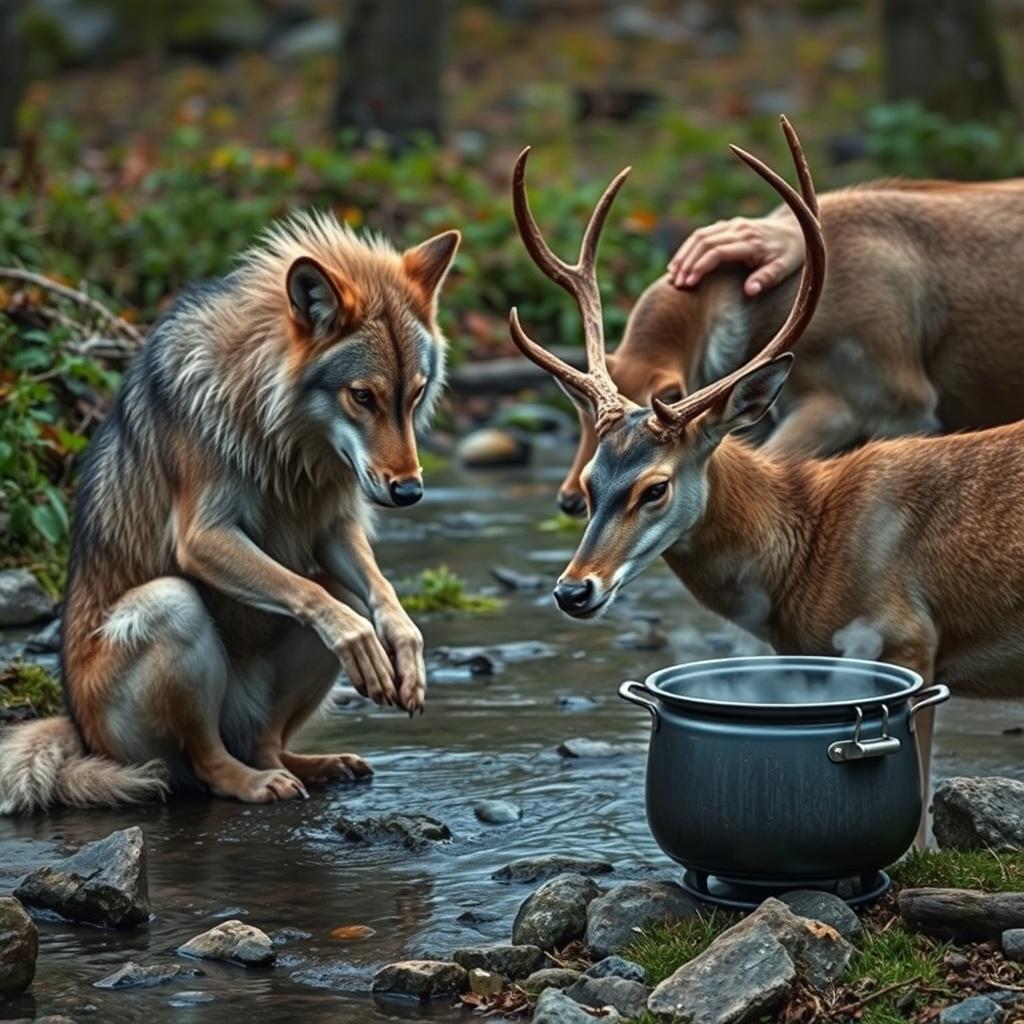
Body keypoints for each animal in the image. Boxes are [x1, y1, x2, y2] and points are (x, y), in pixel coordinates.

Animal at [0, 211, 459, 812]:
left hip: (265, 696)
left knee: (272, 732)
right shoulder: (202, 537)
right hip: (168, 617)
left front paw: (404, 642)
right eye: (363, 396)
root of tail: (79, 733)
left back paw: (310, 766)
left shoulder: (334, 527)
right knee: (207, 758)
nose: (409, 492)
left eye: (415, 395)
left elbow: (378, 597)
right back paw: (252, 782)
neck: (278, 435)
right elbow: (324, 606)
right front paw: (364, 641)